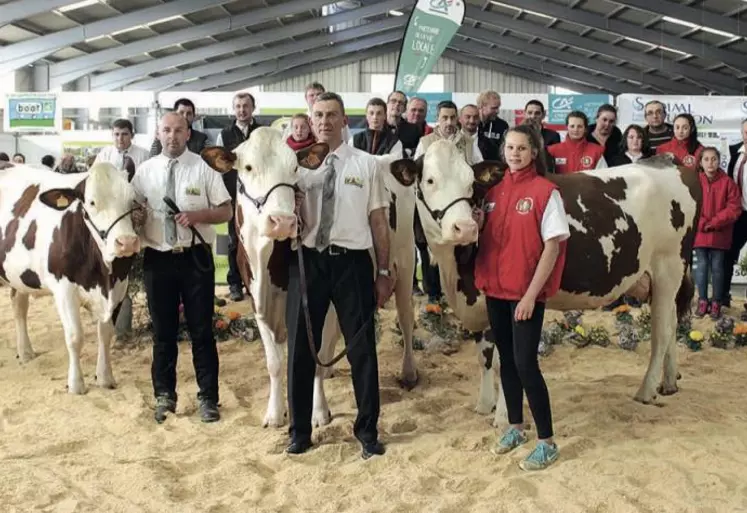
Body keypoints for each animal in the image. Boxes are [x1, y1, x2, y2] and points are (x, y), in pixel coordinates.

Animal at [0, 160, 141, 392]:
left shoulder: (120, 286)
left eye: (132, 199)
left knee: (19, 305)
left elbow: (106, 333)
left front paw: (105, 377)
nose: (127, 242)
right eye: (91, 202)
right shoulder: (63, 289)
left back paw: (26, 352)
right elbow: (75, 336)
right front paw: (76, 384)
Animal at [202, 128, 418, 428]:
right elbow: (275, 363)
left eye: (294, 168)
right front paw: (275, 413)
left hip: (406, 261)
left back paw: (409, 372)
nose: (283, 221)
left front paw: (319, 412)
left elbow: (314, 358)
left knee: (406, 317)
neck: (268, 263)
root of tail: (389, 160)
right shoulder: (257, 301)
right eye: (248, 167)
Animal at [392, 141, 700, 424]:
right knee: (672, 324)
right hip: (660, 281)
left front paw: (504, 418)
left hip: (668, 268)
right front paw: (484, 405)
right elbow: (485, 358)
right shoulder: (477, 305)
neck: (455, 272)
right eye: (430, 180)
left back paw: (646, 390)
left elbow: (504, 362)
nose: (465, 228)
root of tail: (667, 162)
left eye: (470, 183)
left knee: (661, 332)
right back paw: (669, 382)